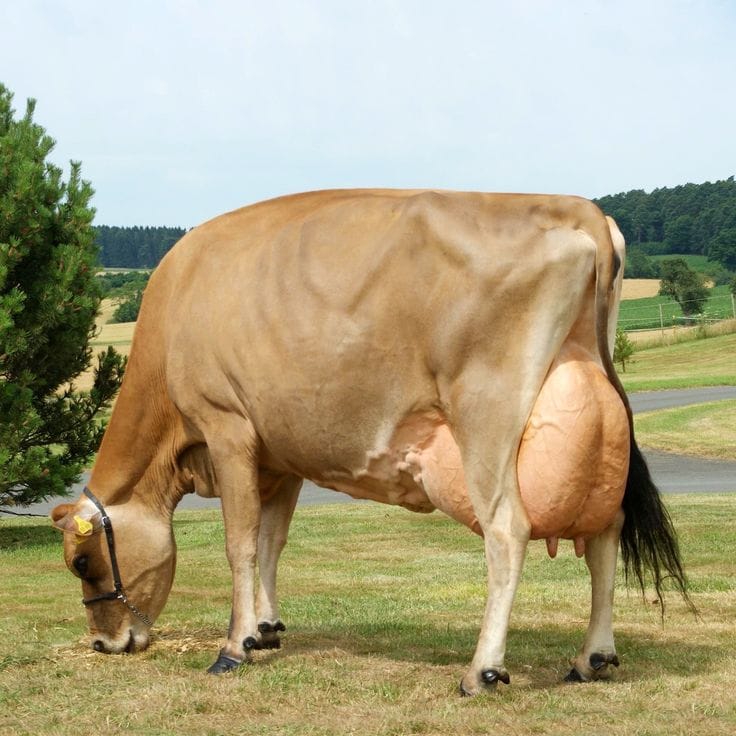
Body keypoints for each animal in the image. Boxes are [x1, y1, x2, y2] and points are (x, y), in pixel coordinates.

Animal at [51, 189, 689, 696]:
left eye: (83, 562)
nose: (106, 644)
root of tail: (575, 206)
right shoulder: (280, 455)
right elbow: (272, 542)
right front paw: (267, 629)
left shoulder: (227, 426)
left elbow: (241, 545)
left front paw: (233, 647)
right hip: (593, 413)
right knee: (606, 530)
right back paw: (592, 657)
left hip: (486, 418)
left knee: (509, 531)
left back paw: (481, 670)